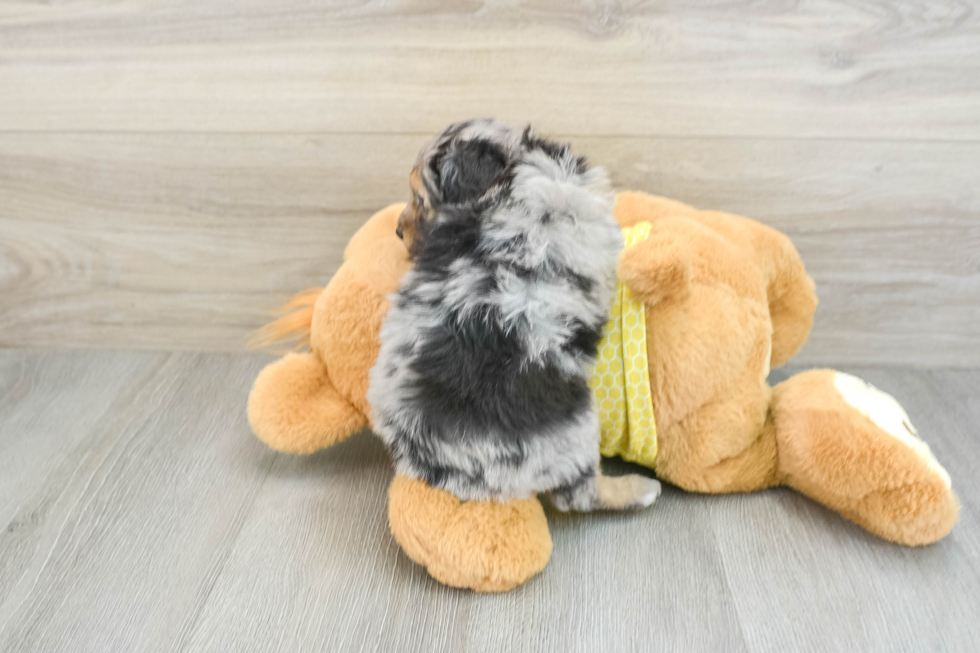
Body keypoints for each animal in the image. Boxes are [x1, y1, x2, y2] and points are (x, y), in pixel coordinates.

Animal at [366, 121, 660, 510]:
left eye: (420, 200)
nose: (399, 231)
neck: (507, 182)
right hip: (577, 430)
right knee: (580, 495)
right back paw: (640, 489)